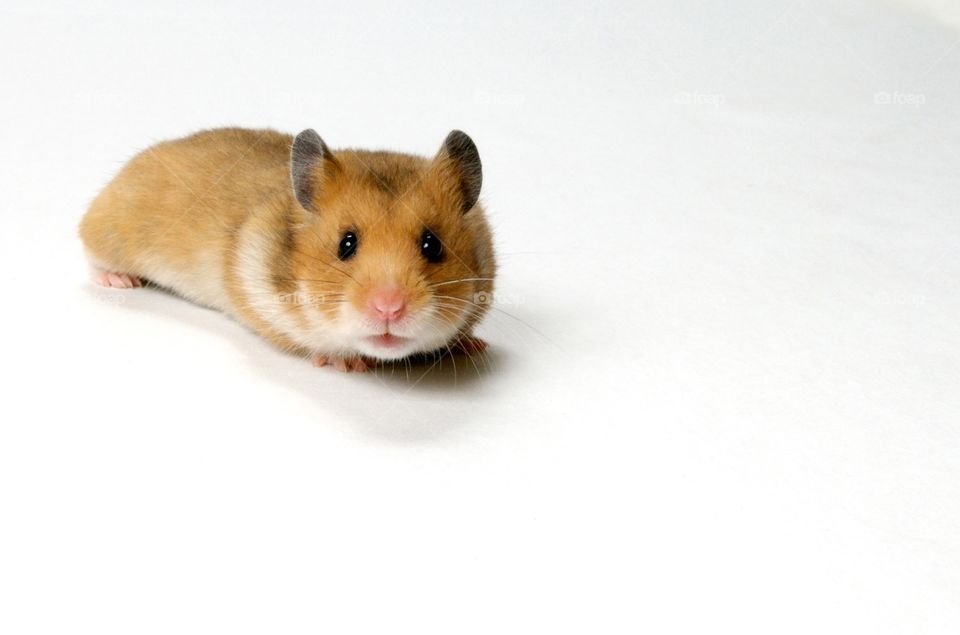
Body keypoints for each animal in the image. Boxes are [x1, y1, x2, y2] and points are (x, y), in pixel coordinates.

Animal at [79, 127, 496, 372]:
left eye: (433, 244)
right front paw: (347, 364)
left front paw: (473, 345)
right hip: (110, 233)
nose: (389, 309)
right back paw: (119, 281)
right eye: (346, 244)